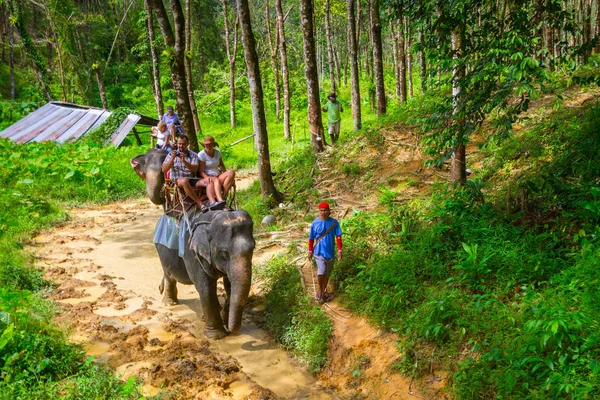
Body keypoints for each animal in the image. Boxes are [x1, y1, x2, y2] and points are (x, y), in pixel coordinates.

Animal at [130, 148, 254, 340]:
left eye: (253, 249)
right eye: (223, 253)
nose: (232, 330)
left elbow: (229, 284)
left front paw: (224, 319)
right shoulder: (192, 251)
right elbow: (205, 287)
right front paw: (216, 335)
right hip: (161, 251)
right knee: (169, 274)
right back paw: (169, 303)